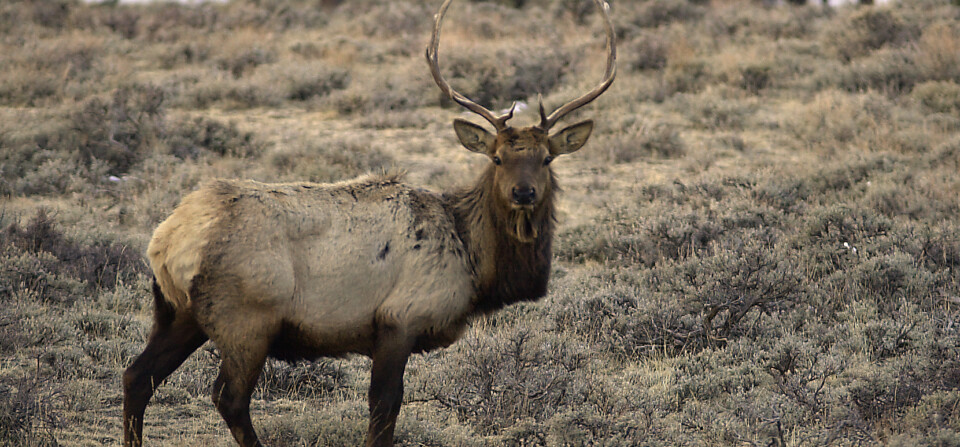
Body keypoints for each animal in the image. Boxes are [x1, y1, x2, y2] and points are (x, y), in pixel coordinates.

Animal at [121, 0, 615, 445]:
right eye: (497, 158)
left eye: (546, 158)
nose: (523, 193)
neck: (474, 264)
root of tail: (167, 239)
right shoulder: (399, 319)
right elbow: (383, 410)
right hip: (246, 318)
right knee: (228, 398)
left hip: (177, 311)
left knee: (136, 376)